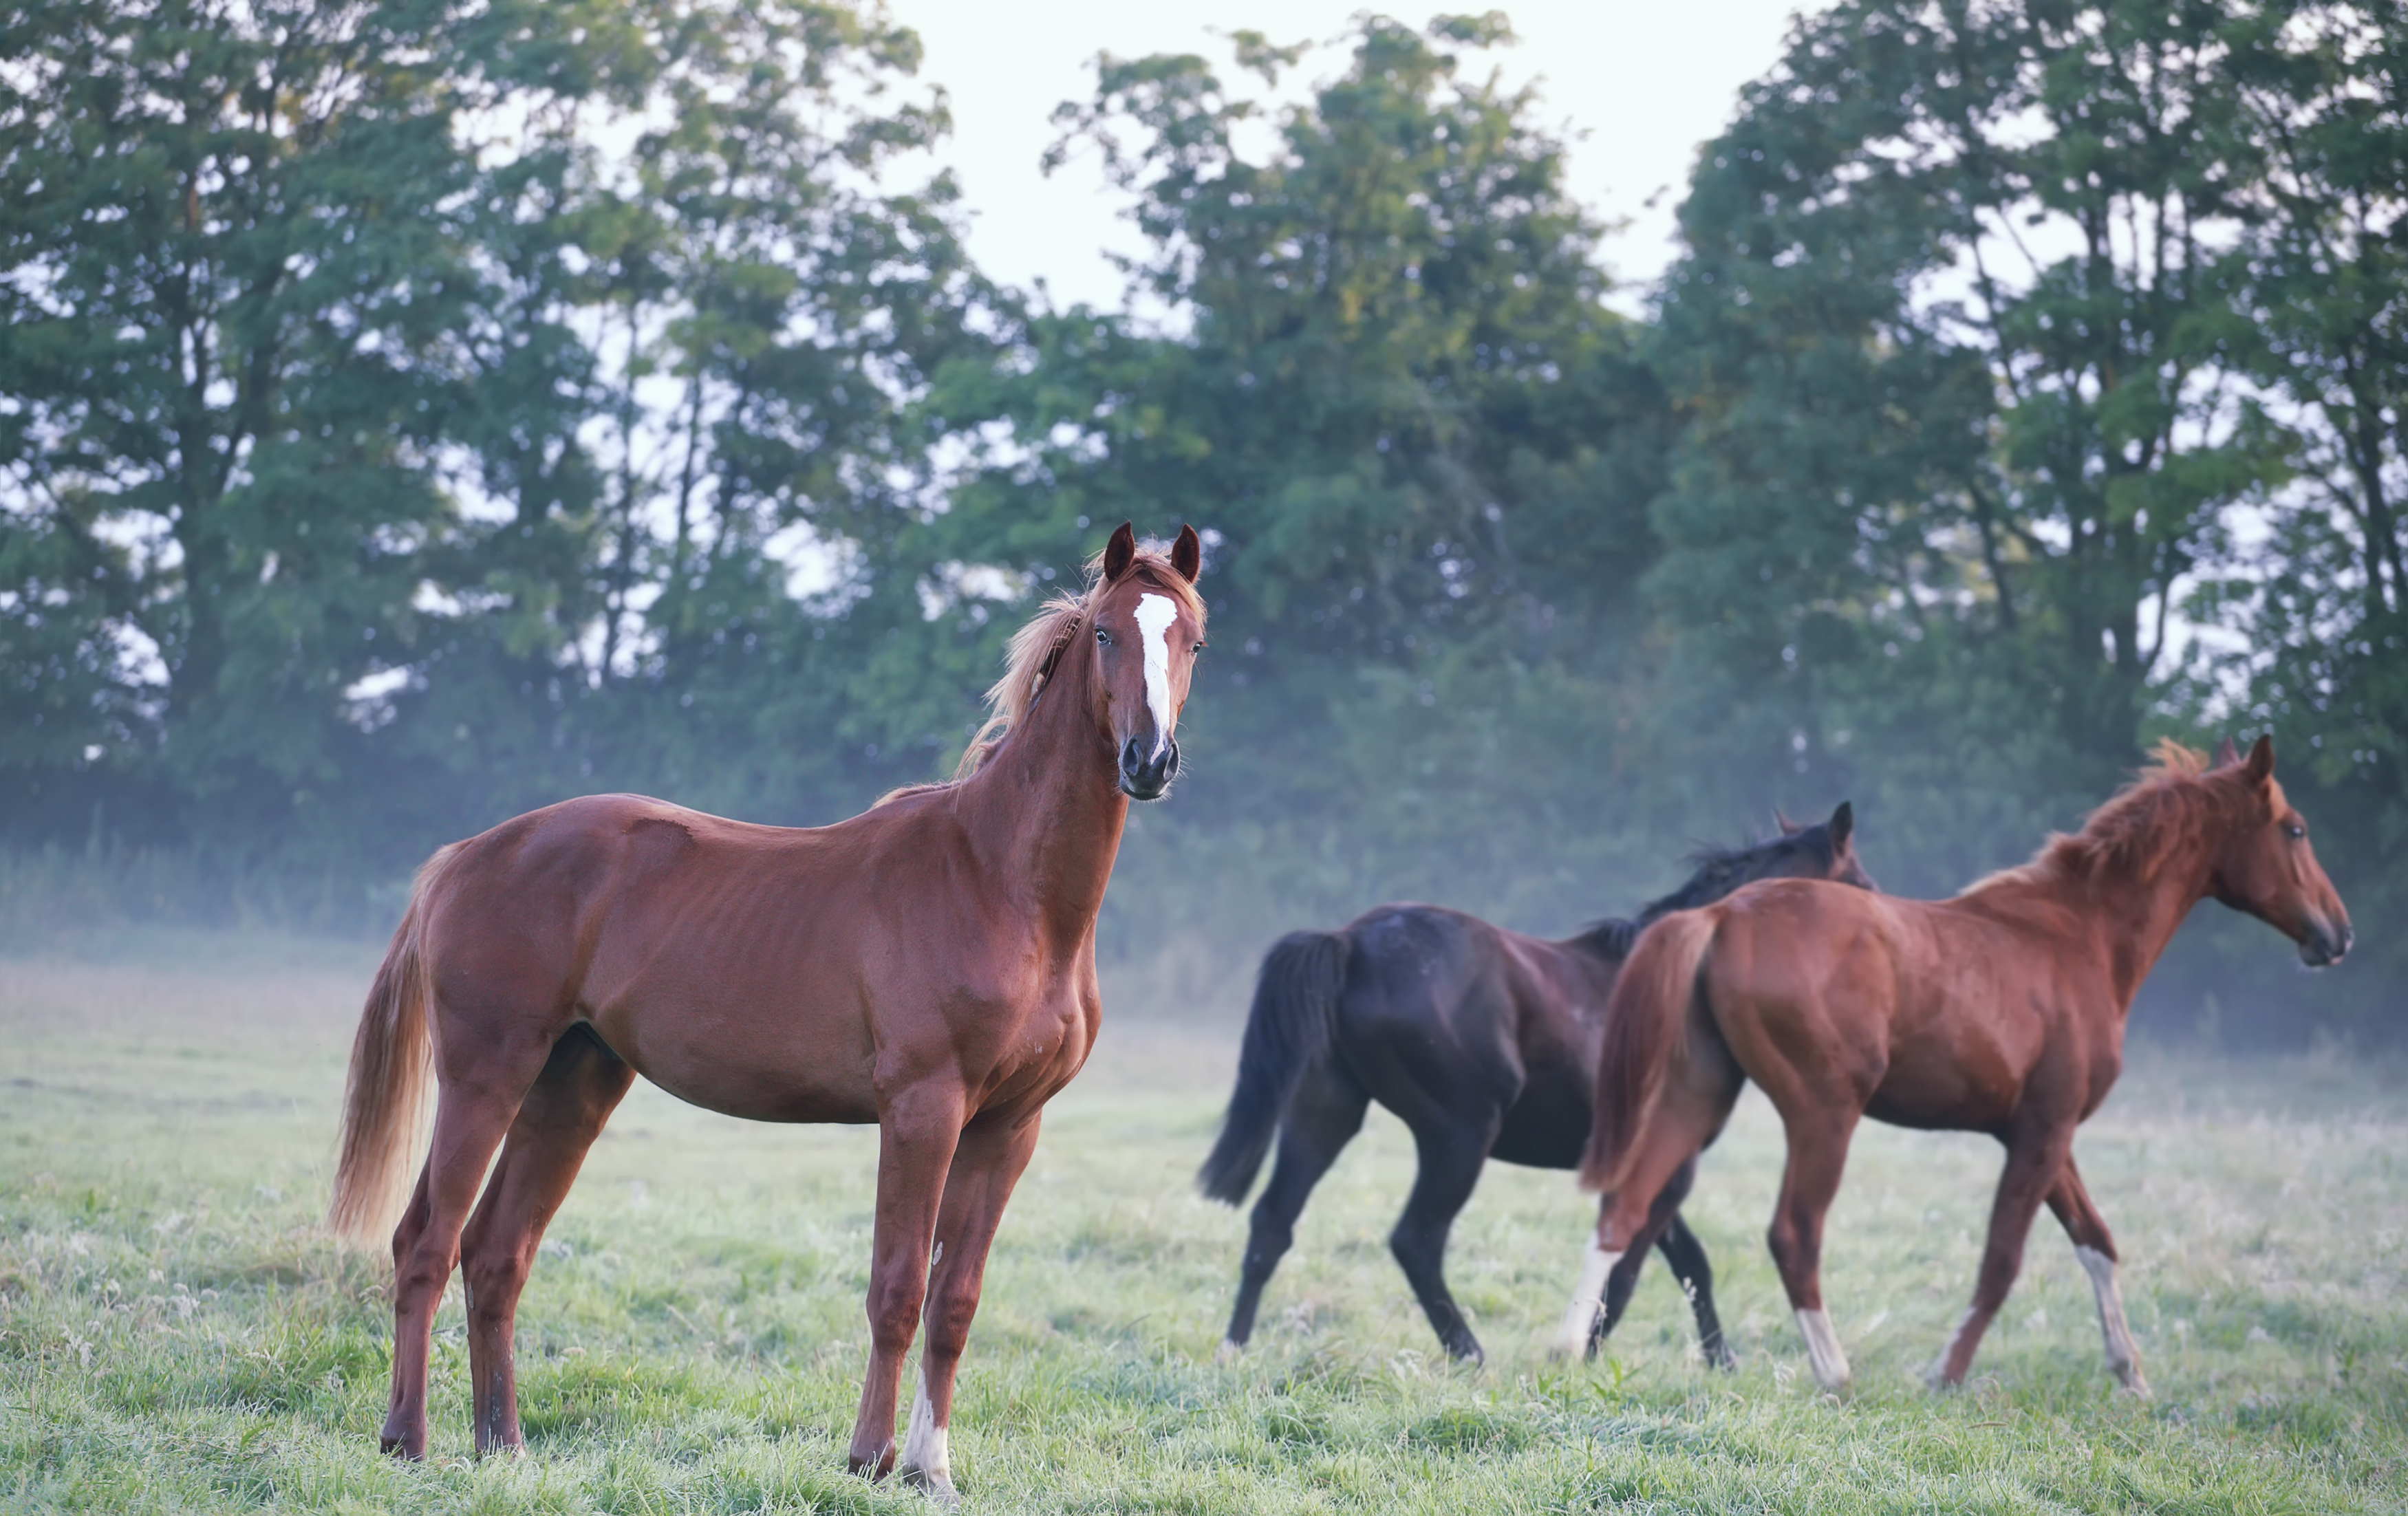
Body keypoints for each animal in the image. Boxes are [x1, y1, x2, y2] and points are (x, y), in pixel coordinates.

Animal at [330, 522, 1214, 1502]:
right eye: (1104, 632)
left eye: (1191, 640)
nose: (1149, 761)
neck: (998, 882)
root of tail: (462, 857)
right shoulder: (923, 1109)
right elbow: (897, 1287)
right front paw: (868, 1458)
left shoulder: (1008, 1126)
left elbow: (955, 1301)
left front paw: (932, 1469)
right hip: (487, 1074)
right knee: (425, 1240)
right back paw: (406, 1440)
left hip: (573, 1083)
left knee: (495, 1251)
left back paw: (505, 1446)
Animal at [1204, 803, 1878, 1376]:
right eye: (1864, 887)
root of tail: (1347, 943)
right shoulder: (1673, 1164)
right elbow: (1631, 1271)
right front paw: (1586, 1355)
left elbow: (1688, 1263)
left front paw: (1720, 1360)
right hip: (1459, 1133)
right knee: (1416, 1240)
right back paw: (1469, 1352)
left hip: (1325, 1114)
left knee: (1272, 1223)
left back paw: (1234, 1350)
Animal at [1580, 741, 2350, 1396]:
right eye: (2295, 829)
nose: (2337, 932)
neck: (2077, 936)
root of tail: (1720, 917)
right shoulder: (2042, 1131)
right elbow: (2002, 1262)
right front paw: (1944, 1375)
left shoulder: (2042, 1132)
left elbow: (2096, 1241)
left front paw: (2131, 1375)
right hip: (1821, 1113)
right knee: (1792, 1234)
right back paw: (1835, 1374)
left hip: (1693, 1098)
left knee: (1626, 1211)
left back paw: (1570, 1349)